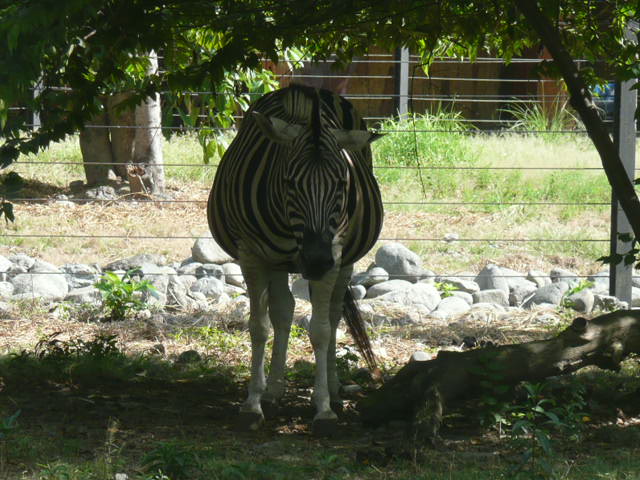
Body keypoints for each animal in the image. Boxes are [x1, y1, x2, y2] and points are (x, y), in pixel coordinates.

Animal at [207, 84, 383, 434]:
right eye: (289, 182)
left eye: (342, 184)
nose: (315, 261)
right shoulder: (251, 255)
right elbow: (259, 326)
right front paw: (253, 404)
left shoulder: (335, 253)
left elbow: (321, 329)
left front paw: (324, 408)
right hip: (276, 261)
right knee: (282, 312)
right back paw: (273, 392)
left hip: (344, 262)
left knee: (332, 315)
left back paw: (334, 391)